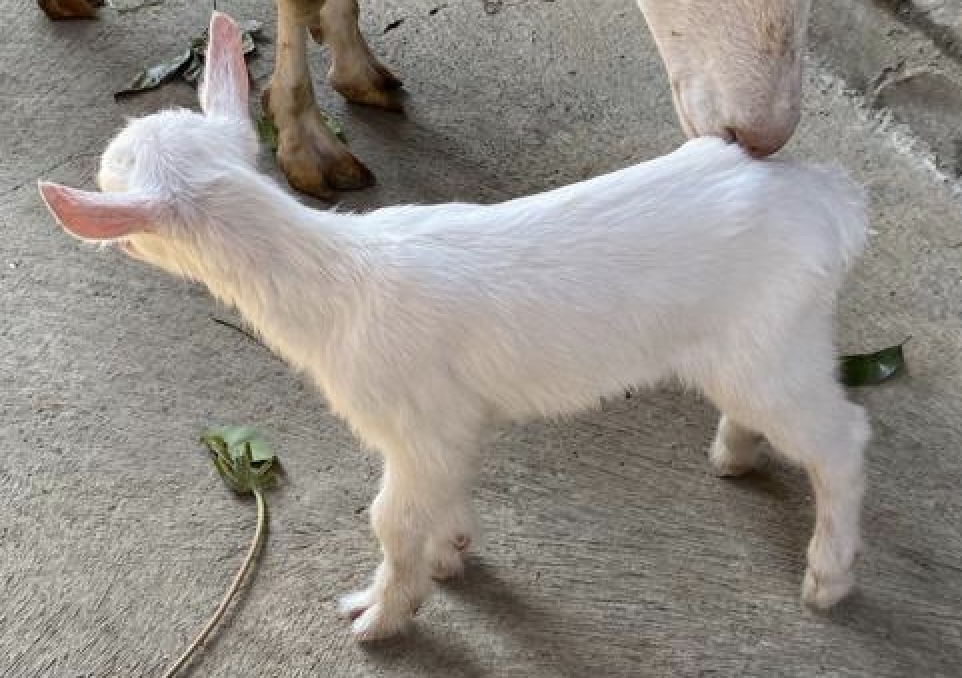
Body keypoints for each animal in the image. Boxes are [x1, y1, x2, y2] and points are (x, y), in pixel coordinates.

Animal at [39, 12, 869, 641]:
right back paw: (735, 455)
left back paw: (827, 574)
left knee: (842, 437)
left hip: (771, 340)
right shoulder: (453, 425)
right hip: (754, 343)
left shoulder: (413, 419)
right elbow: (442, 493)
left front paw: (379, 615)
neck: (335, 280)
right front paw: (452, 551)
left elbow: (390, 518)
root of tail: (831, 202)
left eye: (110, 180)